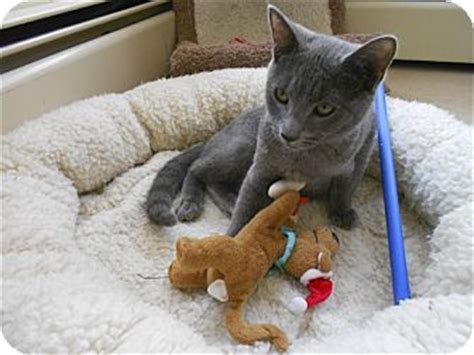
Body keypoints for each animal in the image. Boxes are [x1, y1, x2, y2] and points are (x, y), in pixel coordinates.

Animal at [144, 5, 396, 236]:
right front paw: (232, 242)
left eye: (325, 108)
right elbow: (247, 202)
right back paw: (191, 203)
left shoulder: (360, 152)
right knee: (197, 168)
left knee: (214, 181)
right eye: (281, 94)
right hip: (242, 145)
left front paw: (342, 212)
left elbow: (345, 188)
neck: (306, 156)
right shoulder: (261, 168)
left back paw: (230, 202)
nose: (288, 134)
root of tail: (215, 136)